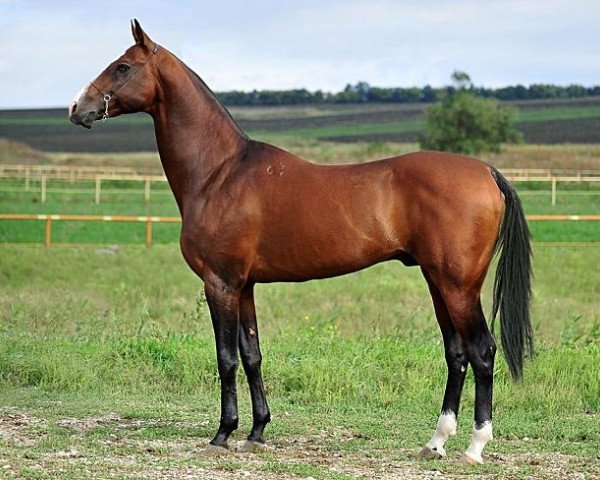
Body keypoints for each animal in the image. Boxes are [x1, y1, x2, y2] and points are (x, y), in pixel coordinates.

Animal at [68, 19, 532, 464]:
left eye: (123, 66)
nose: (76, 107)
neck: (220, 173)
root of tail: (486, 171)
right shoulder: (245, 286)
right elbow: (252, 354)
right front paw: (256, 433)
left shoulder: (220, 283)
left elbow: (226, 357)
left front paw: (222, 434)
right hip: (438, 283)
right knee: (457, 354)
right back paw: (435, 443)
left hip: (458, 286)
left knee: (481, 351)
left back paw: (474, 448)